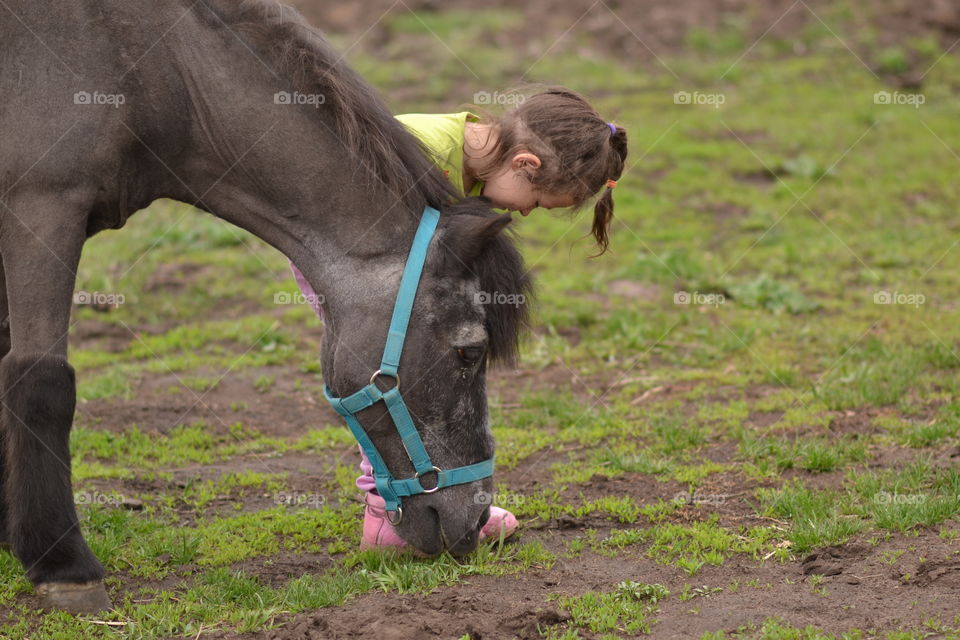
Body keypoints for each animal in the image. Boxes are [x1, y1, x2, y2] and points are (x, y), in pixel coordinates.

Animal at [0, 0, 531, 613]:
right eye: (470, 352)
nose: (476, 521)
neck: (155, 72)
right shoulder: (41, 210)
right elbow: (41, 383)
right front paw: (61, 564)